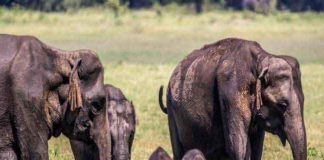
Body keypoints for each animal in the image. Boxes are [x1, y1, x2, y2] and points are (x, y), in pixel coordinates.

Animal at [159, 37, 306, 160]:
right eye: (282, 105)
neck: (262, 58)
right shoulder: (231, 90)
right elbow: (238, 145)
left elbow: (257, 146)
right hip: (171, 107)